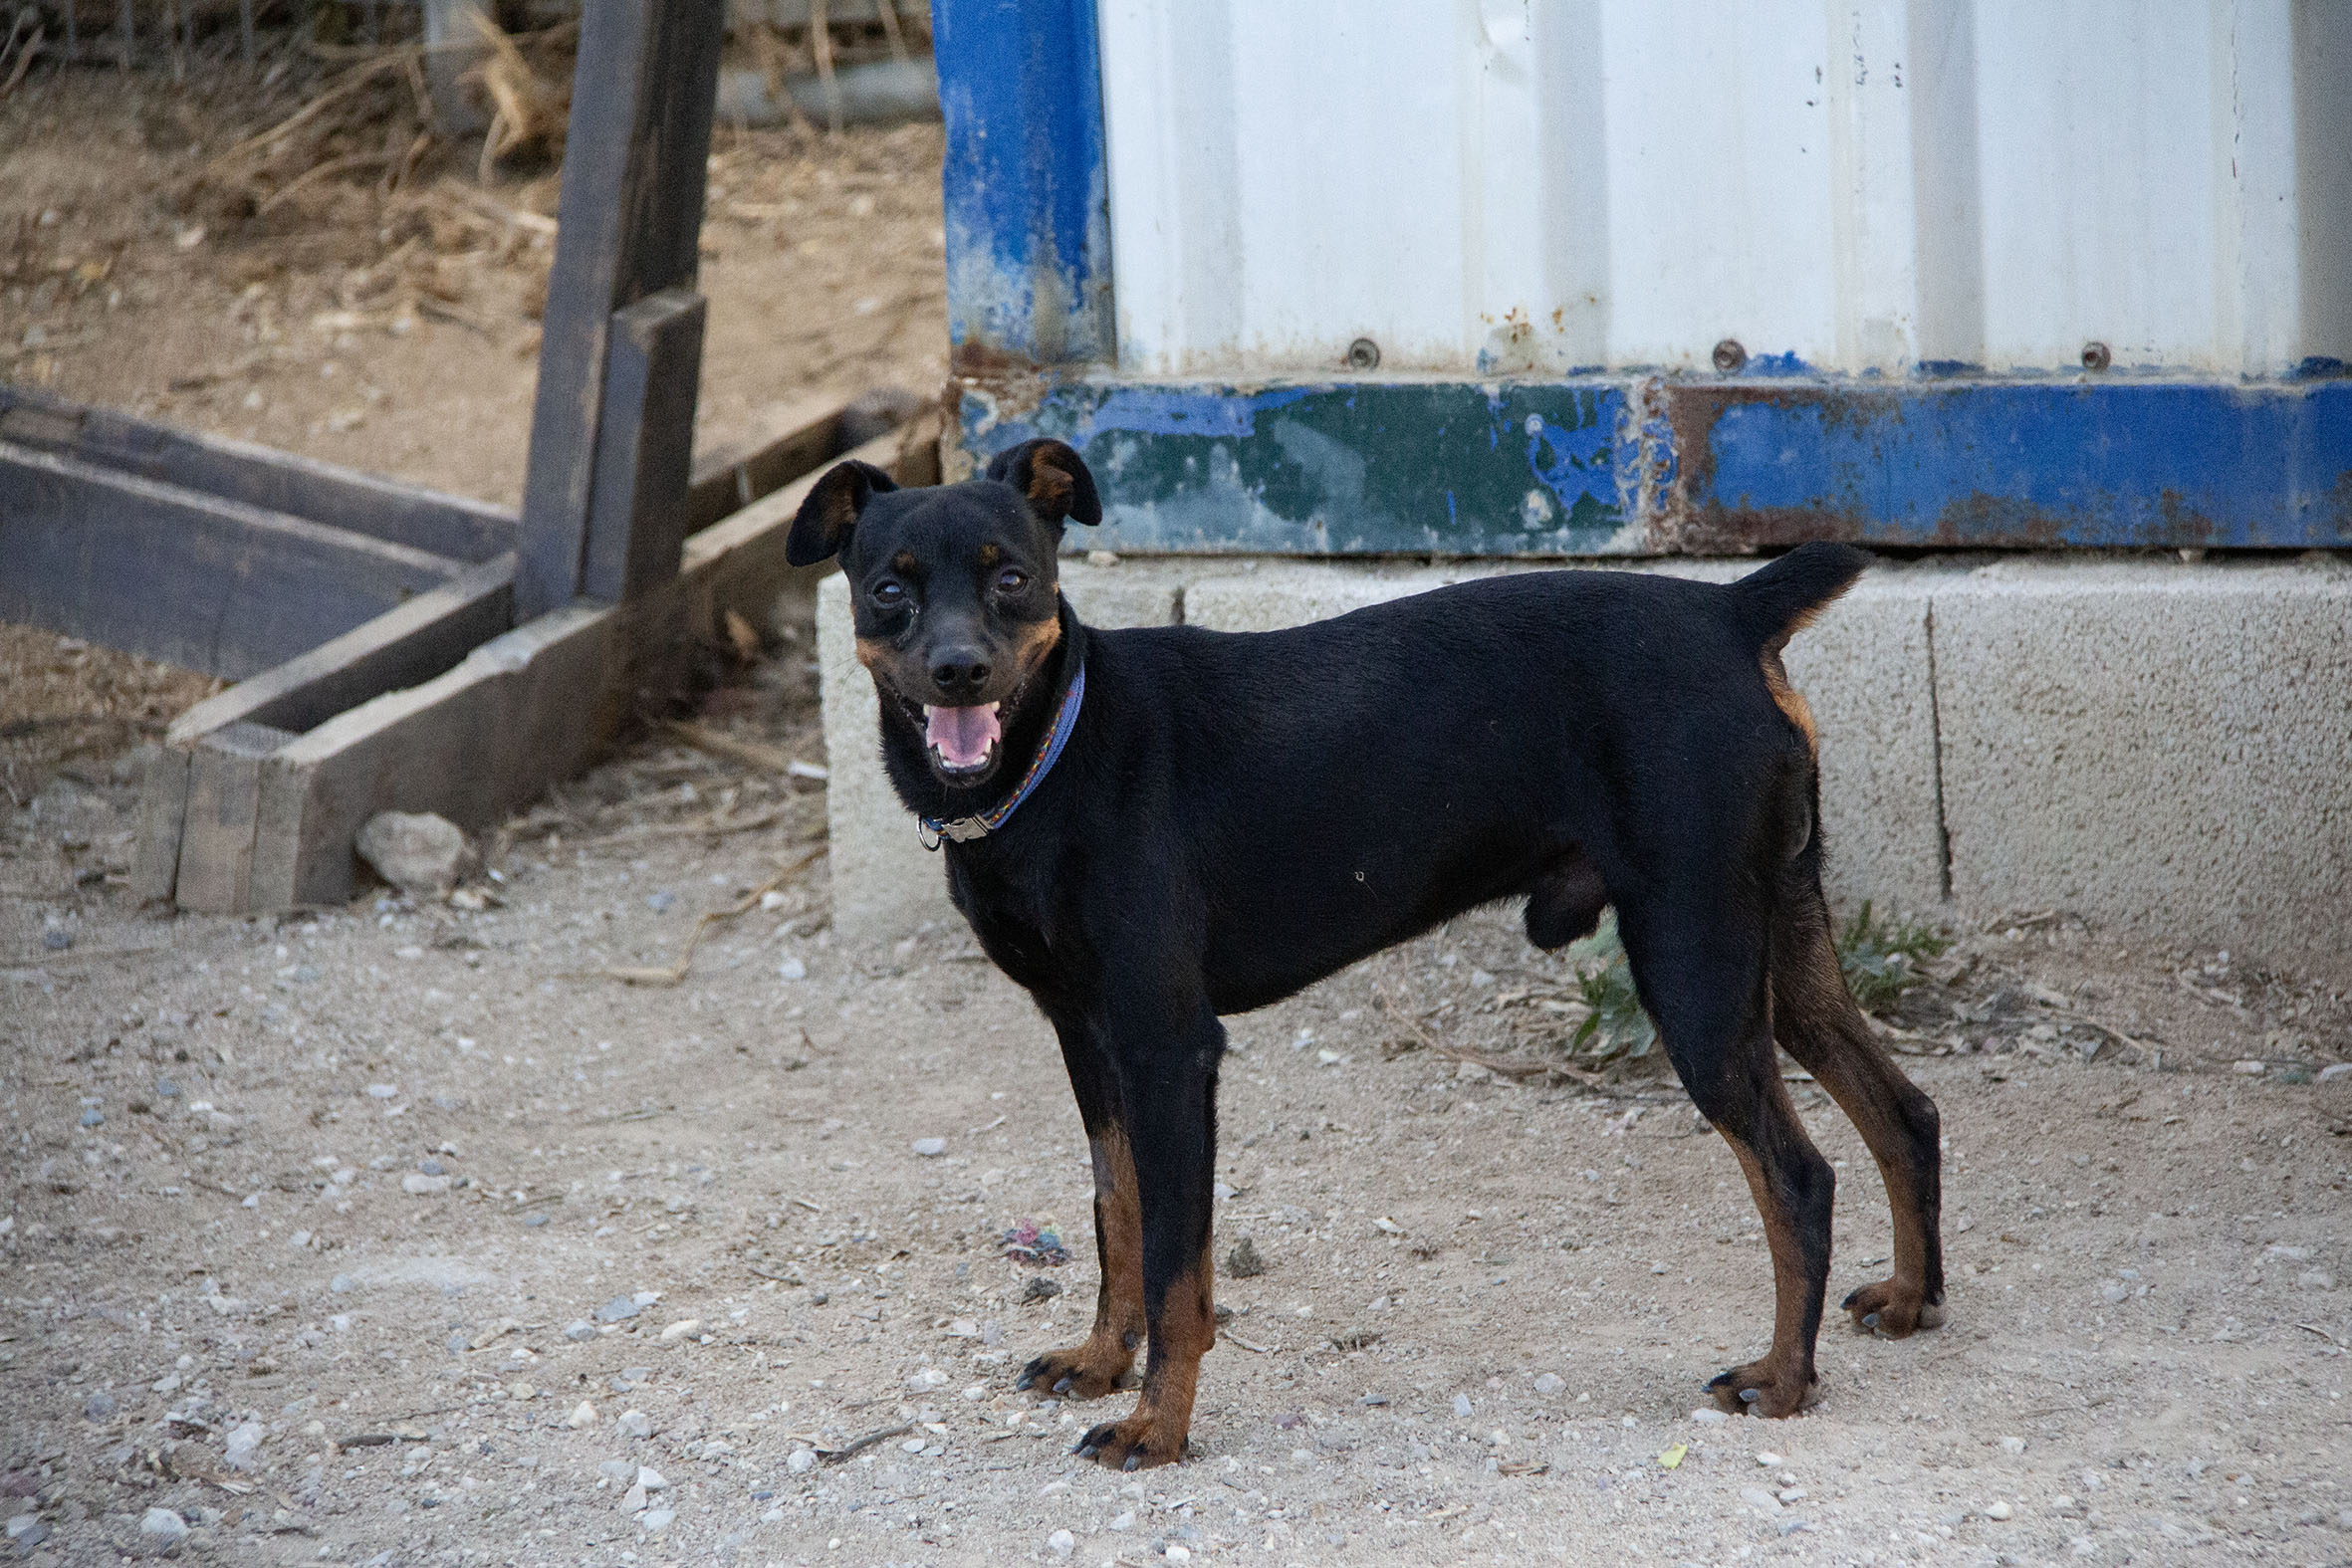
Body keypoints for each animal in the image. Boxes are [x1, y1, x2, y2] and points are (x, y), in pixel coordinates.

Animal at [787, 439, 1945, 1469]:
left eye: (1013, 578)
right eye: (888, 590)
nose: (958, 669)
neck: (1056, 757)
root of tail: (1729, 608)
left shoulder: (1169, 1049)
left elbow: (1173, 1267)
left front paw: (1156, 1426)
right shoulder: (1087, 1039)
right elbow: (1118, 1215)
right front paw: (1101, 1360)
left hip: (1695, 966)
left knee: (1798, 1177)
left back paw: (1782, 1380)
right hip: (1780, 947)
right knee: (1903, 1109)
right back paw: (1912, 1299)